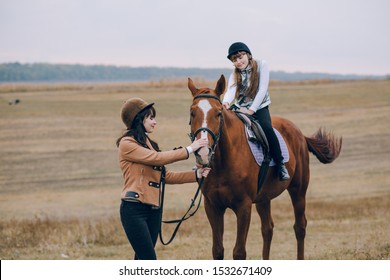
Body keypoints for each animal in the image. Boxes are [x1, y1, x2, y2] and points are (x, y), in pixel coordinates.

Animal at [187, 75, 342, 260]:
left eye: (218, 113)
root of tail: (299, 133)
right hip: (263, 198)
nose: (203, 152)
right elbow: (217, 250)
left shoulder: (244, 206)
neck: (223, 163)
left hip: (298, 190)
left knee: (300, 227)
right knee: (267, 229)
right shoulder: (212, 206)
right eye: (192, 113)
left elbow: (239, 252)